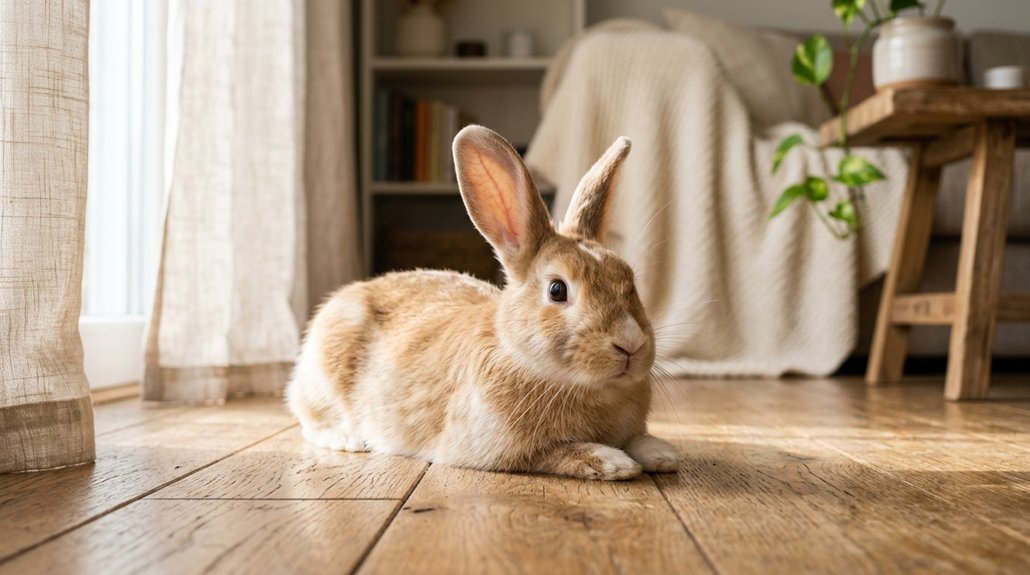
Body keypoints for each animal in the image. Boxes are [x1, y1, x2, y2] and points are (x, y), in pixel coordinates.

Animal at [286, 125, 680, 480]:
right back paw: (349, 438)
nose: (630, 343)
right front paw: (614, 462)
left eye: (630, 280)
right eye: (557, 290)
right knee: (310, 419)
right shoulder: (499, 448)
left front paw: (662, 453)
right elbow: (556, 452)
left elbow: (638, 439)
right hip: (325, 371)